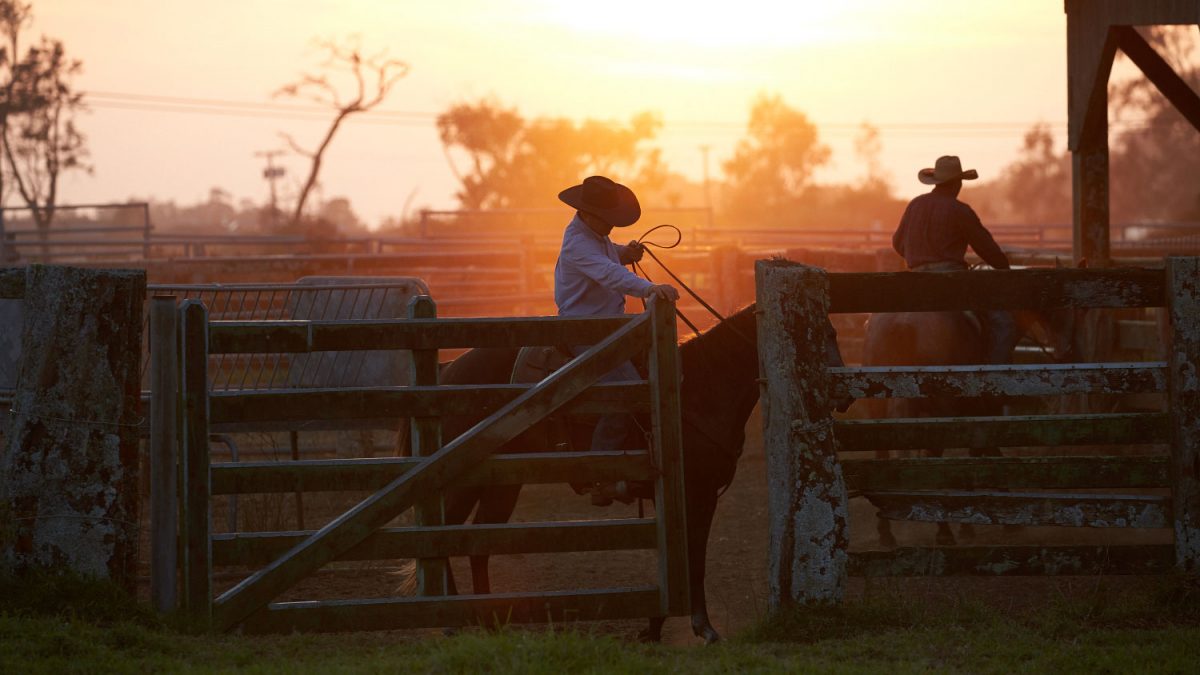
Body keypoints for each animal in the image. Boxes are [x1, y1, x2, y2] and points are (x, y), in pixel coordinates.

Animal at [403, 303, 825, 638]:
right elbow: (692, 561)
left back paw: (489, 619)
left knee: (478, 539)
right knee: (444, 534)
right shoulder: (696, 493)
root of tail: (447, 370)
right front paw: (700, 629)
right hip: (458, 478)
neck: (698, 389)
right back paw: (452, 620)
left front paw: (656, 627)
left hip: (501, 481)